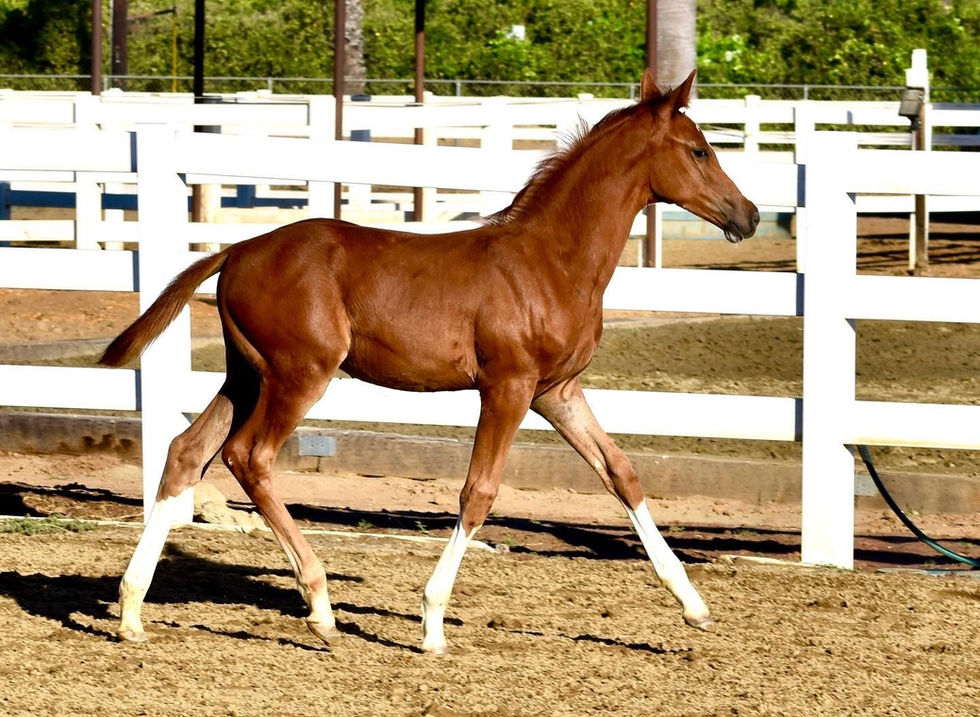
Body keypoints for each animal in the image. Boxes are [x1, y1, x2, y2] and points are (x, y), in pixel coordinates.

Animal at [99, 69, 759, 654]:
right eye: (699, 150)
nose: (748, 214)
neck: (550, 261)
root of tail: (237, 250)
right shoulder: (509, 387)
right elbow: (479, 492)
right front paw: (433, 623)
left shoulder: (558, 391)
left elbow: (620, 472)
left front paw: (693, 604)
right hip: (299, 374)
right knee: (249, 456)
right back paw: (319, 605)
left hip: (246, 375)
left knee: (187, 452)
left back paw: (132, 610)